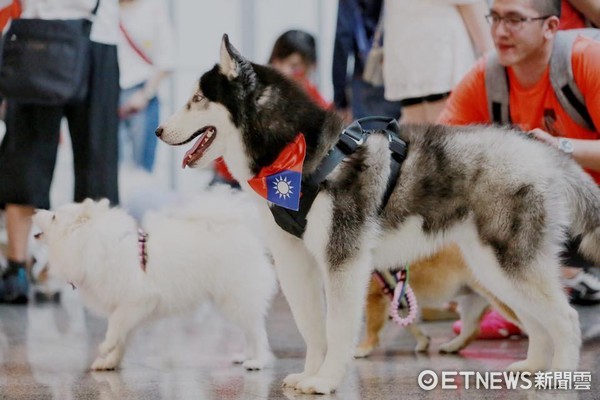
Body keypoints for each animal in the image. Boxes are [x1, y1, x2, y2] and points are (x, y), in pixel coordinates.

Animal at [32, 191, 276, 372]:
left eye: (54, 216)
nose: (35, 210)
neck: (95, 245)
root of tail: (241, 227)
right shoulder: (131, 309)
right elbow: (122, 336)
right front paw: (111, 362)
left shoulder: (136, 300)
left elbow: (115, 326)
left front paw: (105, 346)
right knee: (249, 331)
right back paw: (244, 356)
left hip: (236, 297)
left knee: (257, 332)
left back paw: (257, 361)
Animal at [354, 244, 516, 356]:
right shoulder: (399, 302)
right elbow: (410, 325)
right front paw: (423, 341)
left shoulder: (374, 298)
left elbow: (372, 328)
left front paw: (364, 348)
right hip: (471, 301)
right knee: (471, 330)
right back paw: (452, 346)